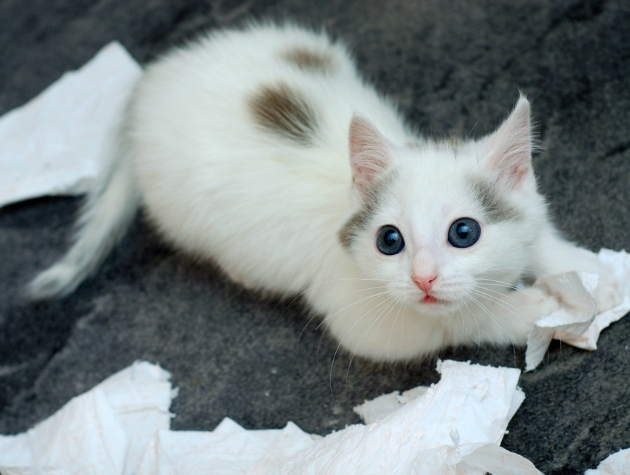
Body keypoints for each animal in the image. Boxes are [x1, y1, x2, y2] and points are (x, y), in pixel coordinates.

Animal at [28, 23, 624, 360]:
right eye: (389, 241)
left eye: (464, 232)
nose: (423, 278)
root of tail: (146, 88)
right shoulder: (362, 314)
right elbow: (459, 320)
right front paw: (533, 309)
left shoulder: (529, 209)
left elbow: (541, 236)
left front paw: (595, 272)